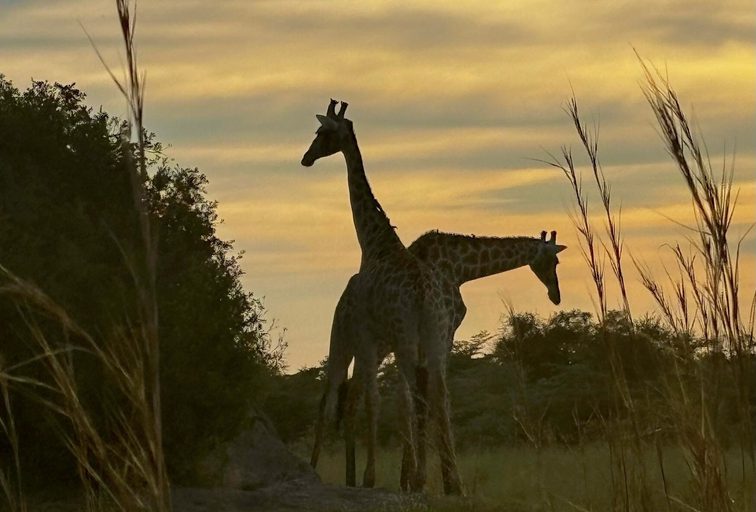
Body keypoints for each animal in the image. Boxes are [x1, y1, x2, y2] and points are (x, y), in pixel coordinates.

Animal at [301, 99, 463, 494]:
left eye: (322, 133)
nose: (306, 158)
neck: (374, 244)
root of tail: (425, 295)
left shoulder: (366, 334)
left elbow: (374, 400)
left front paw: (370, 477)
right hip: (435, 336)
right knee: (439, 393)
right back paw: (450, 482)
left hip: (403, 337)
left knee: (409, 395)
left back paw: (418, 478)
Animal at [312, 230, 566, 488]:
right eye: (555, 261)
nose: (556, 295)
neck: (460, 267)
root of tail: (344, 299)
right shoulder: (445, 328)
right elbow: (434, 396)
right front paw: (444, 479)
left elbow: (412, 400)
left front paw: (410, 478)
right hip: (346, 342)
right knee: (331, 397)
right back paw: (318, 468)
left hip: (373, 347)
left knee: (351, 396)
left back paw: (350, 476)